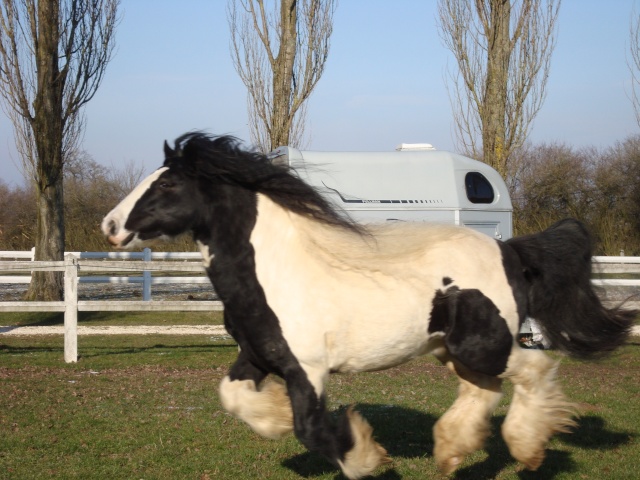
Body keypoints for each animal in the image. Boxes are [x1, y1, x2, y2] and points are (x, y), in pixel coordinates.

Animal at [101, 132, 636, 480]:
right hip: (453, 350)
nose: (110, 225)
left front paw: (366, 456)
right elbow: (233, 397)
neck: (275, 274)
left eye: (167, 184)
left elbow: (314, 430)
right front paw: (273, 419)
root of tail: (509, 252)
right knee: (483, 391)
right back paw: (451, 452)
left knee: (535, 368)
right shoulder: (257, 355)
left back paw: (527, 450)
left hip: (484, 344)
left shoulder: (307, 368)